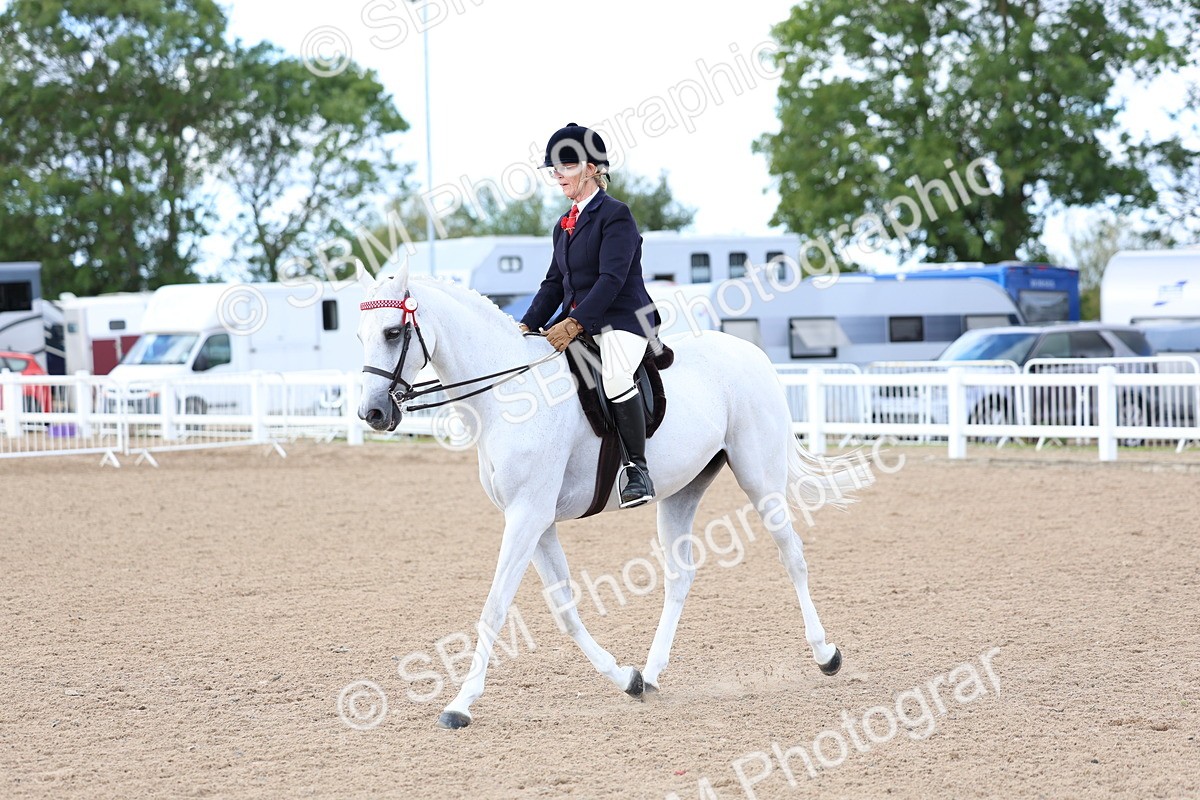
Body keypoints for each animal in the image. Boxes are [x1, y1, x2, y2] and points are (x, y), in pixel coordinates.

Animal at [356, 269, 870, 729]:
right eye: (360, 334)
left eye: (393, 331)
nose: (373, 413)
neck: (511, 394)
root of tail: (752, 353)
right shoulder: (537, 521)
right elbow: (564, 609)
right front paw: (627, 679)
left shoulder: (526, 516)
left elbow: (495, 608)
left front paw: (460, 704)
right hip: (682, 490)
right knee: (680, 576)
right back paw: (654, 673)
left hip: (758, 477)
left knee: (792, 555)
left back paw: (826, 654)